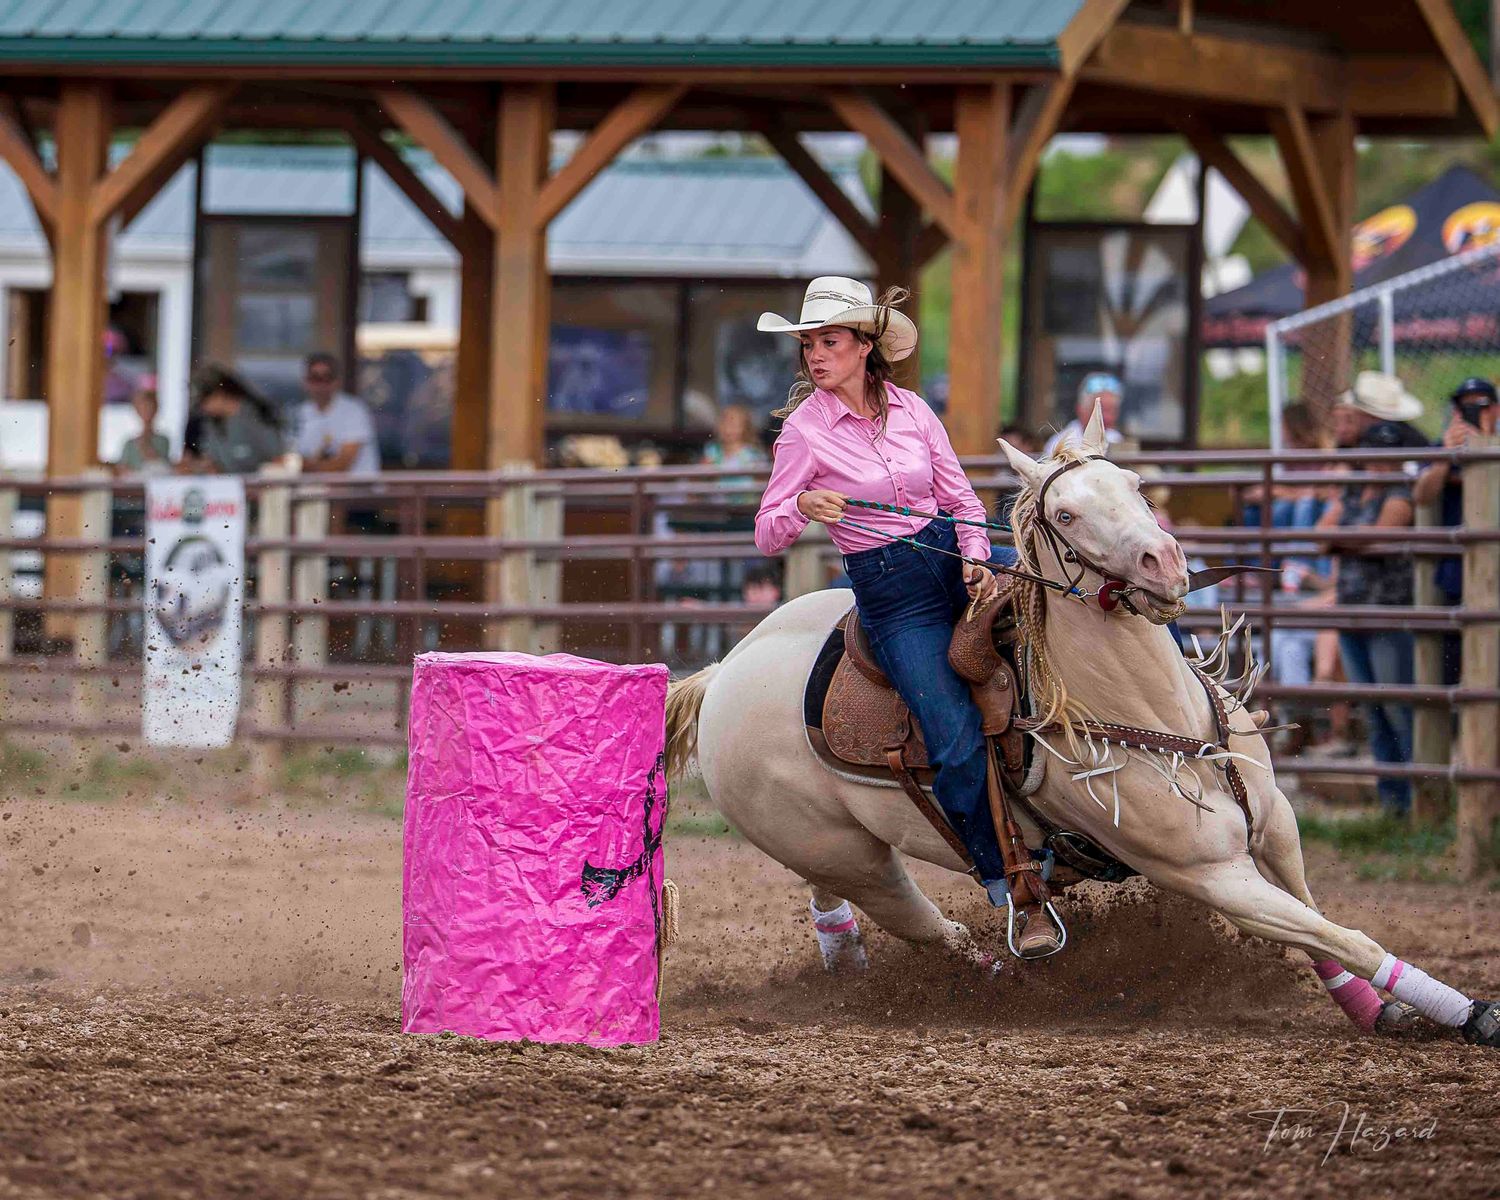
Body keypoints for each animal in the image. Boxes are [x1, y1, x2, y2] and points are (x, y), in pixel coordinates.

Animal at [663, 409, 1499, 1048]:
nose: (1163, 564)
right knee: (929, 926)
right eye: (1066, 514)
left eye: (1135, 485)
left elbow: (1316, 924)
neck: (1157, 718)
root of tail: (722, 673)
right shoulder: (1210, 875)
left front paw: (1375, 1008)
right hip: (848, 855)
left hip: (836, 850)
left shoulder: (1276, 829)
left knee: (843, 907)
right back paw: (1004, 973)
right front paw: (1470, 1014)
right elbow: (1342, 935)